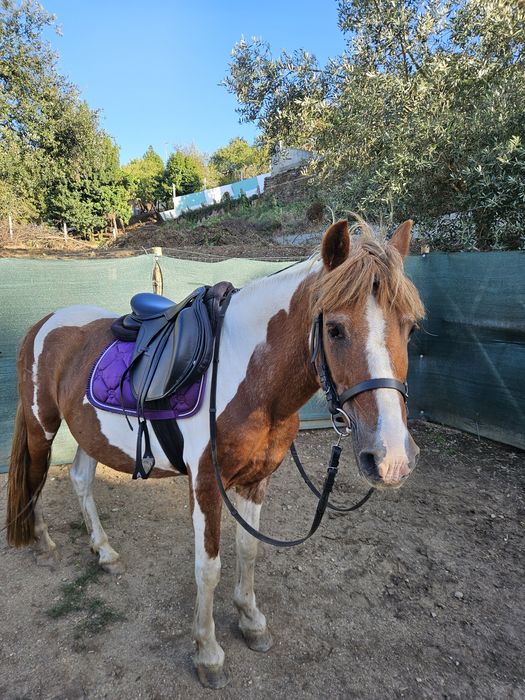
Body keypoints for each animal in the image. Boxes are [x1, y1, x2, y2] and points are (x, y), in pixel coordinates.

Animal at [6, 218, 425, 688]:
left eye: (410, 328)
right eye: (334, 328)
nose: (391, 458)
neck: (250, 374)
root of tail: (45, 321)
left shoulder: (257, 479)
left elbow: (249, 550)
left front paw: (251, 620)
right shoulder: (206, 483)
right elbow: (208, 568)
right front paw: (207, 653)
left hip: (89, 433)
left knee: (79, 479)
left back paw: (105, 552)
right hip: (42, 426)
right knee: (36, 480)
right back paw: (44, 546)